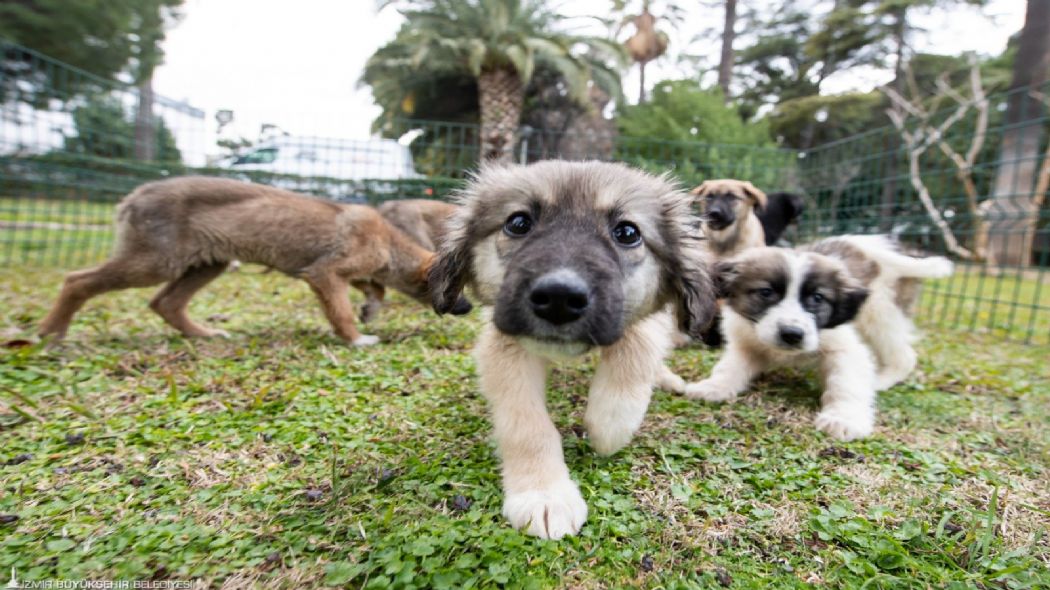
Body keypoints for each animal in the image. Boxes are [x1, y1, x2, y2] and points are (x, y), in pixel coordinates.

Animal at [38, 176, 470, 342]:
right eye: (457, 288)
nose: (467, 309)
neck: (390, 242)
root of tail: (133, 195)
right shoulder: (324, 272)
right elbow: (340, 310)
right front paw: (356, 338)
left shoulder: (343, 271)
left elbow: (372, 287)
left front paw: (371, 309)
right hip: (154, 263)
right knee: (77, 281)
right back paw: (52, 334)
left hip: (204, 265)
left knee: (166, 303)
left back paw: (204, 335)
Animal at [430, 160, 718, 537]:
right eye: (518, 223)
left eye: (628, 232)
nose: (559, 298)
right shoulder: (505, 340)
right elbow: (527, 425)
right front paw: (543, 494)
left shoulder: (639, 319)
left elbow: (635, 347)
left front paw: (609, 425)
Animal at [684, 233, 957, 436]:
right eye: (766, 292)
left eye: (817, 298)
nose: (792, 334)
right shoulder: (745, 342)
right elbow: (730, 368)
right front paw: (714, 386)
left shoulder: (845, 347)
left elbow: (846, 384)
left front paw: (843, 419)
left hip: (881, 314)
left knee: (904, 356)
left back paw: (881, 379)